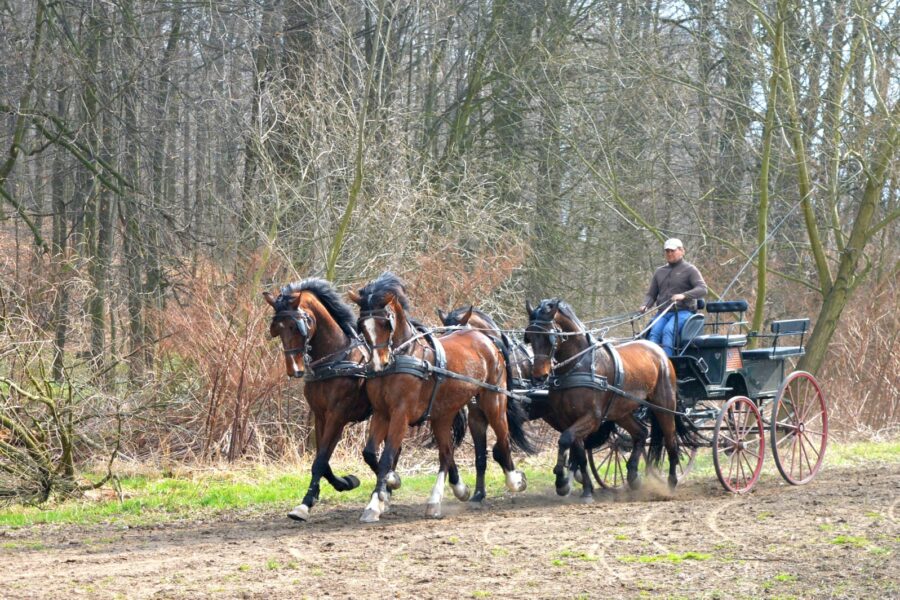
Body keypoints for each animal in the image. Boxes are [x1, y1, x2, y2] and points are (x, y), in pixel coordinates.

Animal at [264, 278, 372, 524]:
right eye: (277, 330)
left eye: (296, 326)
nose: (294, 369)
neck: (335, 360)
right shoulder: (321, 415)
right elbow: (322, 459)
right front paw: (344, 483)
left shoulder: (338, 415)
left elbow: (321, 460)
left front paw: (305, 504)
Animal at [350, 274, 536, 520]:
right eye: (362, 325)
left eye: (386, 323)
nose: (378, 364)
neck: (405, 356)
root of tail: (487, 340)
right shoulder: (381, 413)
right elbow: (371, 454)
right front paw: (383, 493)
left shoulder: (401, 414)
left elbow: (387, 457)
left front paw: (384, 490)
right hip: (444, 414)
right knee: (446, 453)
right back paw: (440, 499)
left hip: (493, 400)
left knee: (502, 438)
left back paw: (514, 480)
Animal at [520, 298, 704, 496]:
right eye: (529, 337)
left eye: (550, 336)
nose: (539, 376)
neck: (579, 365)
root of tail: (660, 353)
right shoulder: (566, 418)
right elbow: (578, 452)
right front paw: (586, 489)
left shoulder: (592, 418)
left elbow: (565, 440)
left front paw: (562, 481)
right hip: (621, 411)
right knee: (641, 433)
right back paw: (633, 476)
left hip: (664, 406)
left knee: (671, 442)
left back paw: (670, 482)